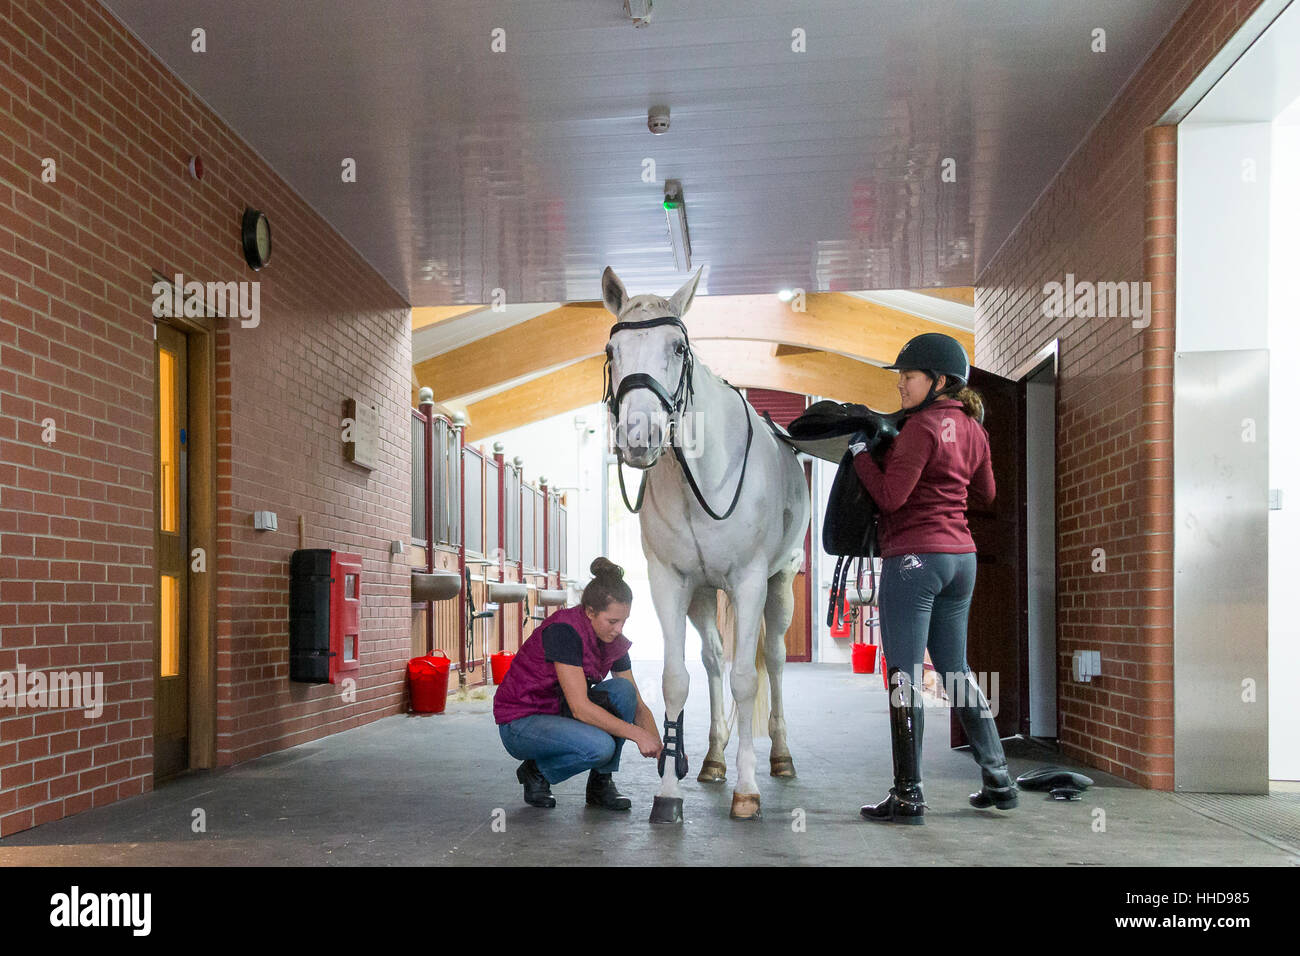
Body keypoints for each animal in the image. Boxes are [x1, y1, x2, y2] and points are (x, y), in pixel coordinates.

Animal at [600, 265, 806, 816]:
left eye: (677, 347)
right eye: (612, 351)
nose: (638, 438)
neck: (701, 478)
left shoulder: (751, 580)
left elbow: (747, 680)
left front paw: (748, 791)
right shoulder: (669, 582)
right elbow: (677, 680)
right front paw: (669, 793)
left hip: (779, 584)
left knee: (774, 659)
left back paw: (781, 757)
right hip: (703, 594)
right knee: (713, 659)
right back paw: (713, 759)